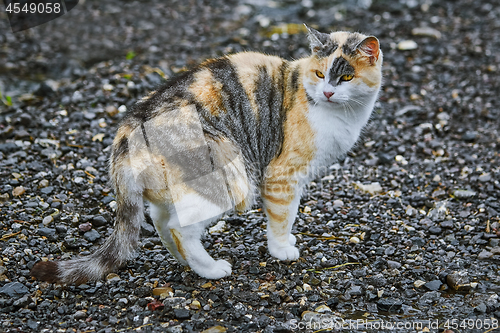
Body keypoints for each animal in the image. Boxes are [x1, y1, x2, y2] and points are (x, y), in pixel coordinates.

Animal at [30, 26, 382, 282]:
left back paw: (185, 262)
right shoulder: (282, 176)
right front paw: (282, 249)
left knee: (162, 220)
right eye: (320, 75)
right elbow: (283, 217)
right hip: (233, 179)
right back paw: (210, 269)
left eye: (346, 77)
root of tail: (130, 125)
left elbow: (291, 213)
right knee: (180, 227)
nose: (328, 92)